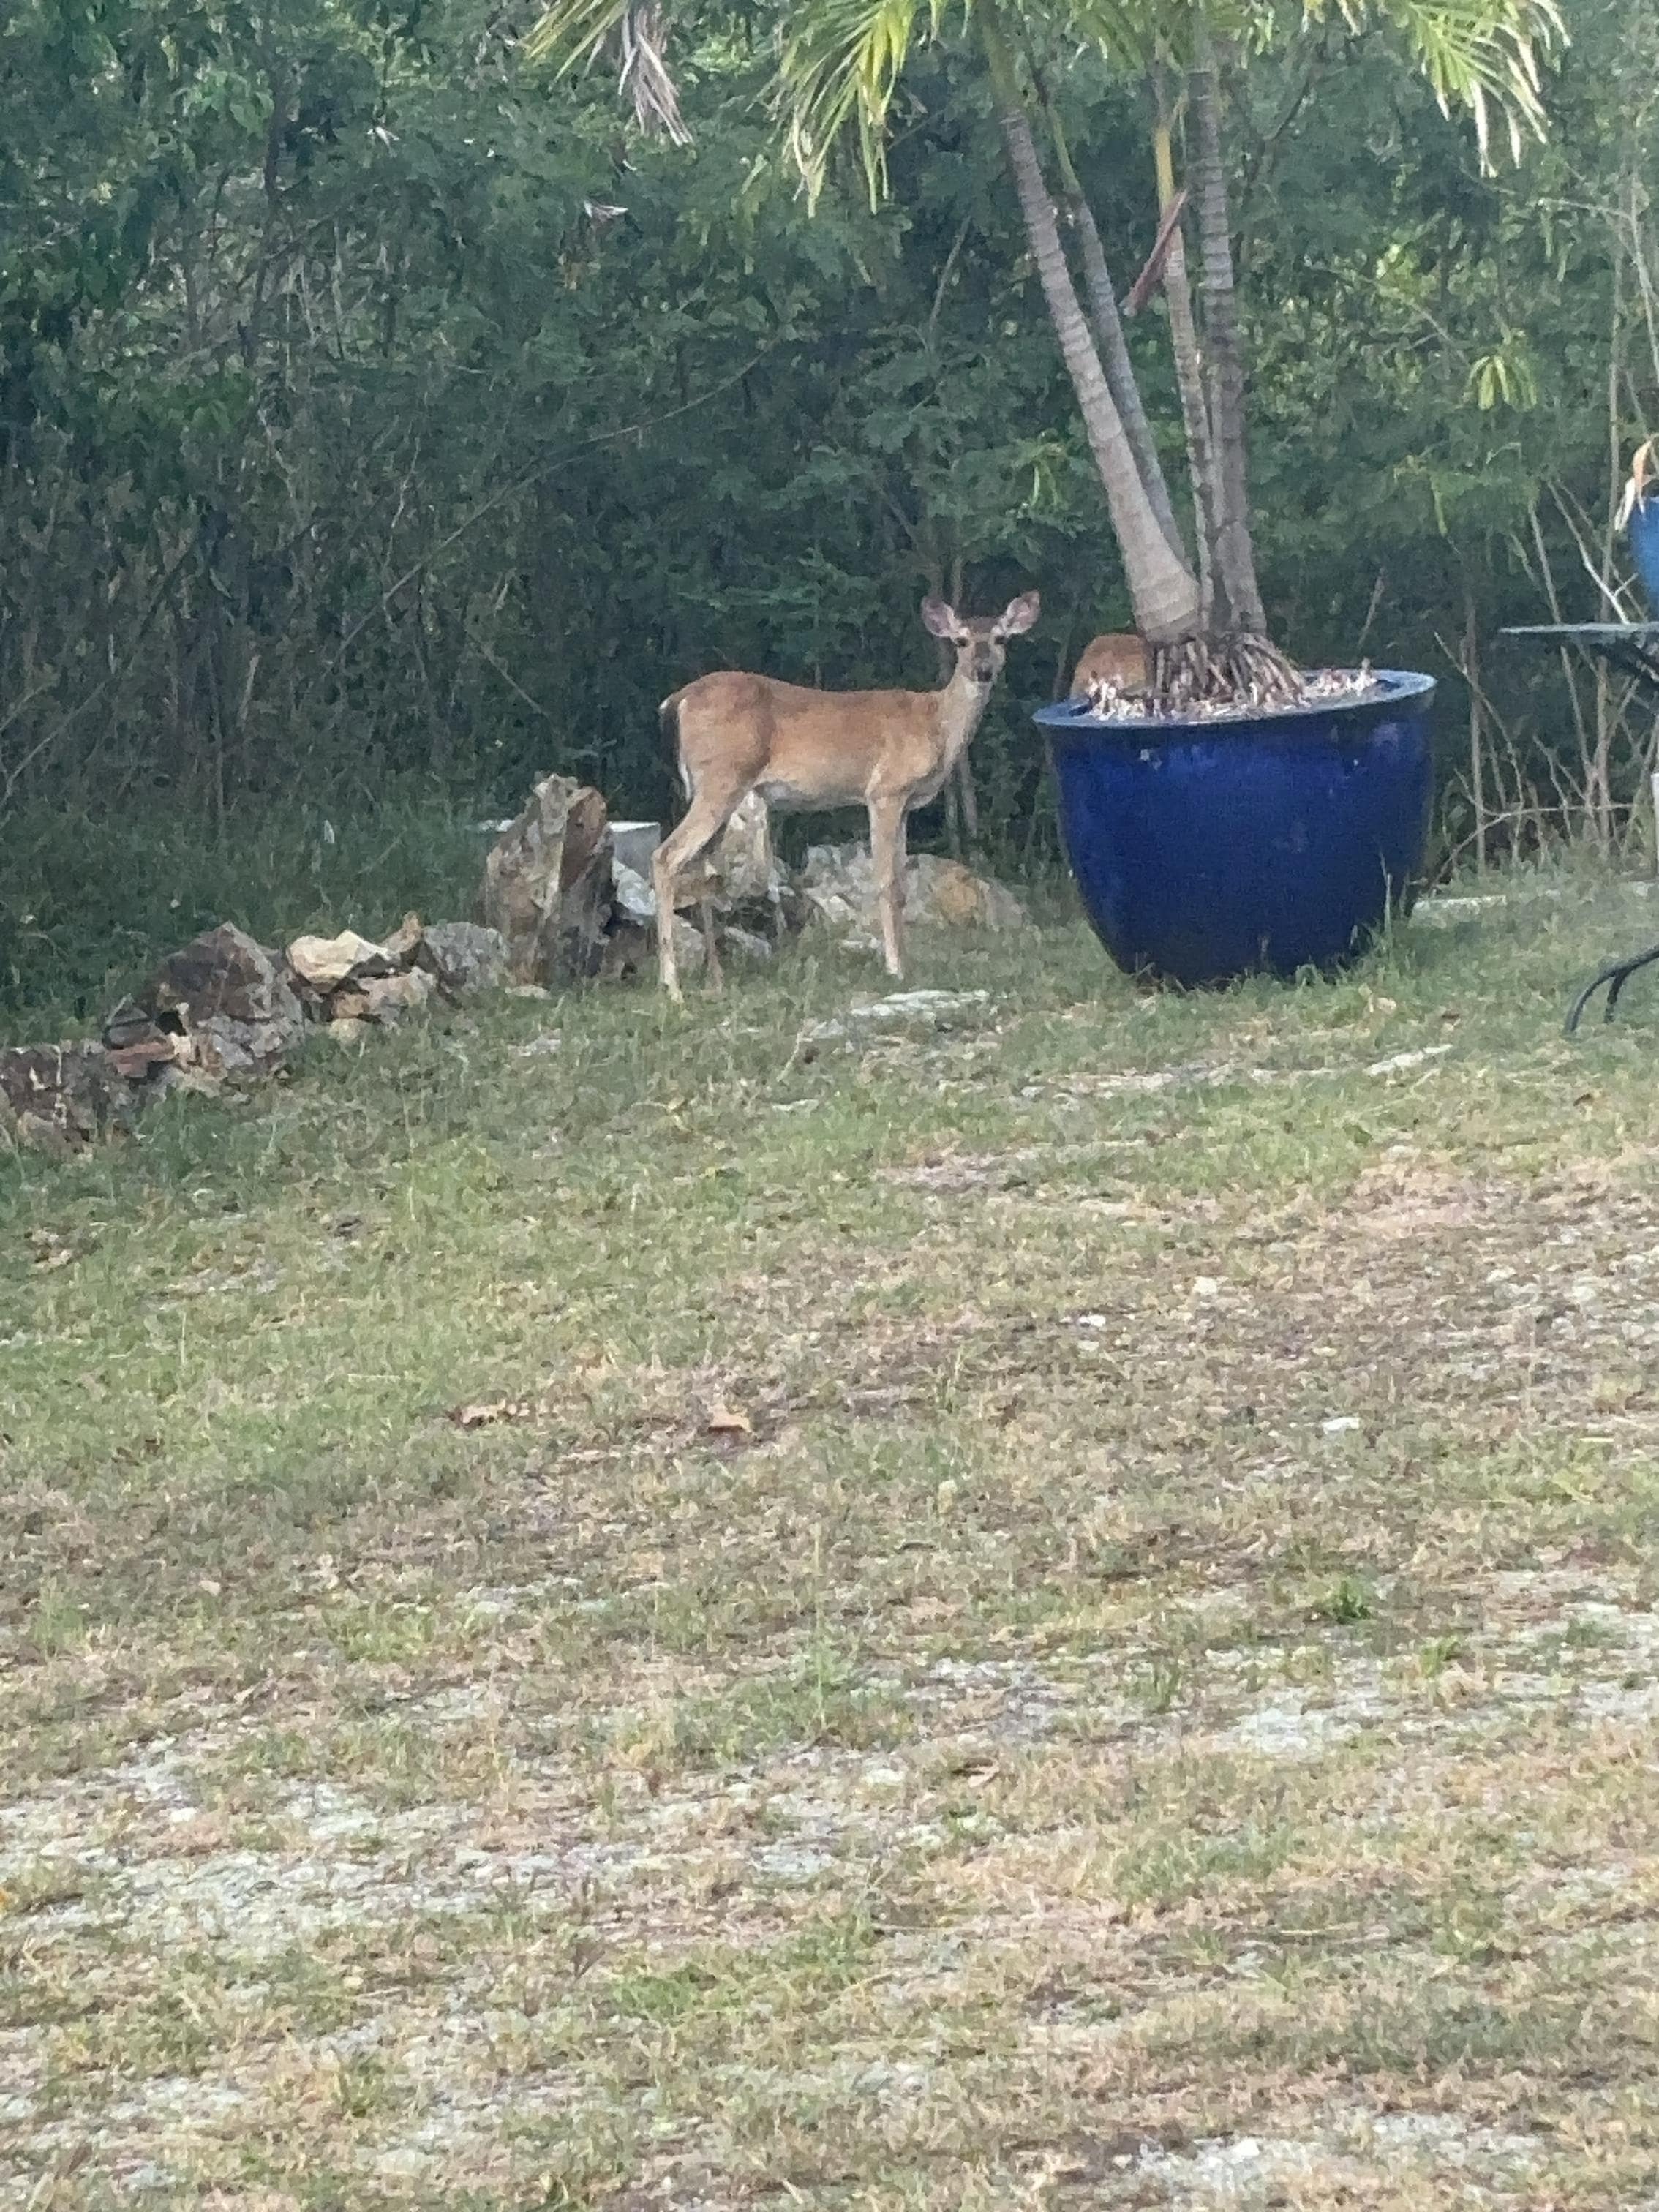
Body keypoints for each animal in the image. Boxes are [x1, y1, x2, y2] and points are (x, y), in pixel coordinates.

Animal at [652, 591, 1039, 1001]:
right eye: (961, 641)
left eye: (1001, 639)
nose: (983, 670)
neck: (935, 724)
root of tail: (677, 701)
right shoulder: (885, 790)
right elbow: (886, 881)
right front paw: (894, 967)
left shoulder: (905, 804)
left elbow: (902, 886)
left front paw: (907, 963)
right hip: (722, 778)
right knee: (666, 856)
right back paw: (672, 987)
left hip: (716, 787)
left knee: (699, 866)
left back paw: (715, 980)